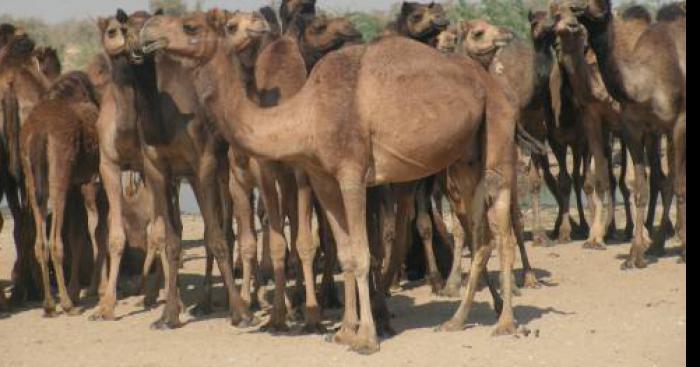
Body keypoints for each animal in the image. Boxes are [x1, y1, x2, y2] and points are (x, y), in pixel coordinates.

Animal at [20, 71, 101, 316]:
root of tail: (39, 131)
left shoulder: (75, 184)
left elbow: (76, 234)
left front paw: (77, 290)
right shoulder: (86, 180)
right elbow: (89, 230)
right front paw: (88, 290)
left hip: (32, 179)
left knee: (40, 242)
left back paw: (48, 304)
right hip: (60, 176)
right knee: (56, 241)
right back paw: (65, 303)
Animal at [138, 8, 520, 354]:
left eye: (190, 26)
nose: (147, 31)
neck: (306, 114)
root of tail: (493, 84)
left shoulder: (352, 174)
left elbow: (364, 254)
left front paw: (366, 339)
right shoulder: (324, 180)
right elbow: (347, 253)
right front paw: (344, 332)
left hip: (498, 134)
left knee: (502, 230)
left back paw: (505, 323)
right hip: (465, 161)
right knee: (480, 234)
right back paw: (456, 320)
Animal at [572, 0, 688, 266]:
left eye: (603, 4)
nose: (574, 7)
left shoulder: (679, 123)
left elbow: (679, 186)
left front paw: (684, 251)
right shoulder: (636, 128)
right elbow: (641, 189)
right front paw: (636, 256)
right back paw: (658, 244)